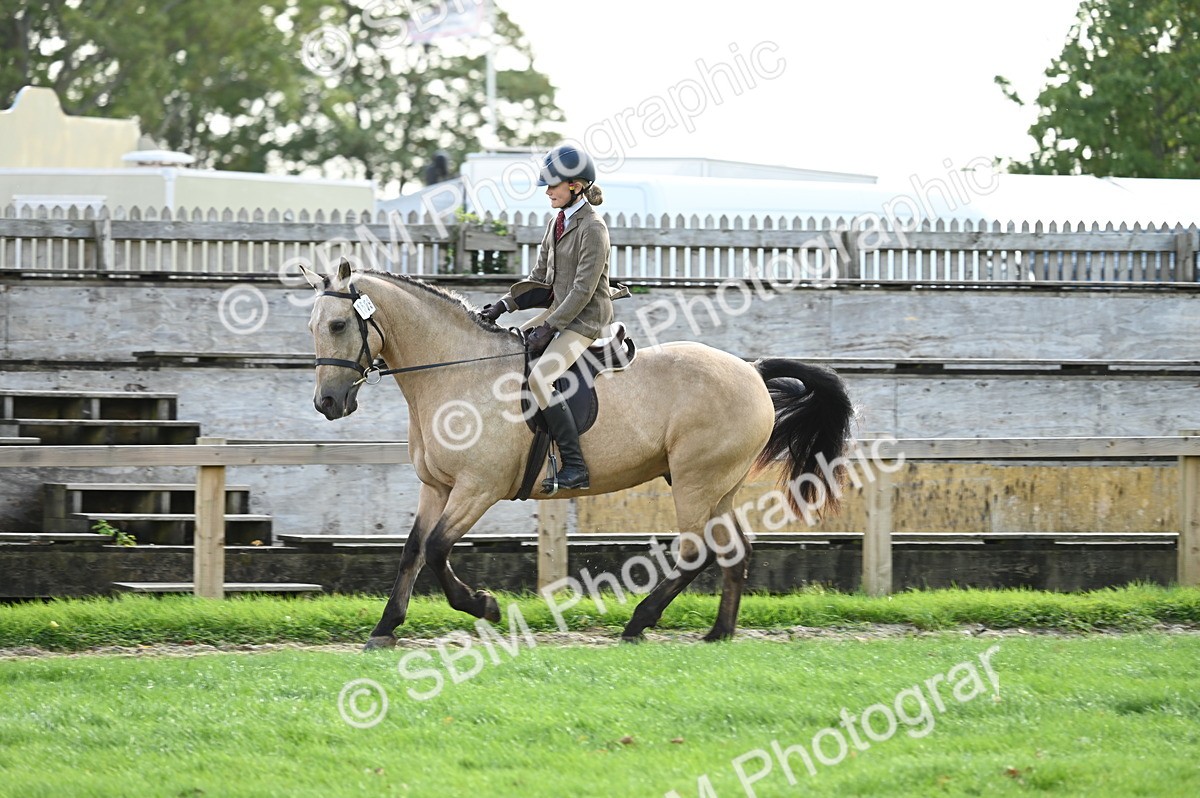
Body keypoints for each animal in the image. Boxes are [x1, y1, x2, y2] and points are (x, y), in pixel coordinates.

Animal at [304, 259, 854, 649]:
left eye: (338, 325)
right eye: (313, 327)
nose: (327, 403)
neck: (457, 371)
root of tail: (752, 370)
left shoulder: (478, 488)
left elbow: (438, 549)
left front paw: (484, 606)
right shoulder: (436, 487)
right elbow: (413, 551)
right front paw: (385, 628)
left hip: (697, 481)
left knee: (696, 549)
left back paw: (638, 623)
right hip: (715, 484)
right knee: (733, 549)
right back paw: (719, 633)